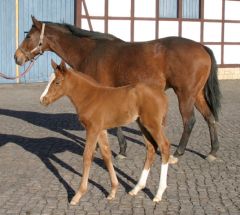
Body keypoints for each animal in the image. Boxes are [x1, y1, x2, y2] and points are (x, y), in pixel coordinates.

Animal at [40, 59, 170, 204]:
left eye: (57, 82)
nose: (43, 99)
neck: (89, 97)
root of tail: (162, 94)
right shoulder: (101, 130)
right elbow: (106, 156)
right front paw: (113, 191)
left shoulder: (92, 129)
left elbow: (87, 157)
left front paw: (78, 195)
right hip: (142, 124)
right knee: (151, 148)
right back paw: (136, 188)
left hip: (153, 124)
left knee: (164, 146)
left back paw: (158, 194)